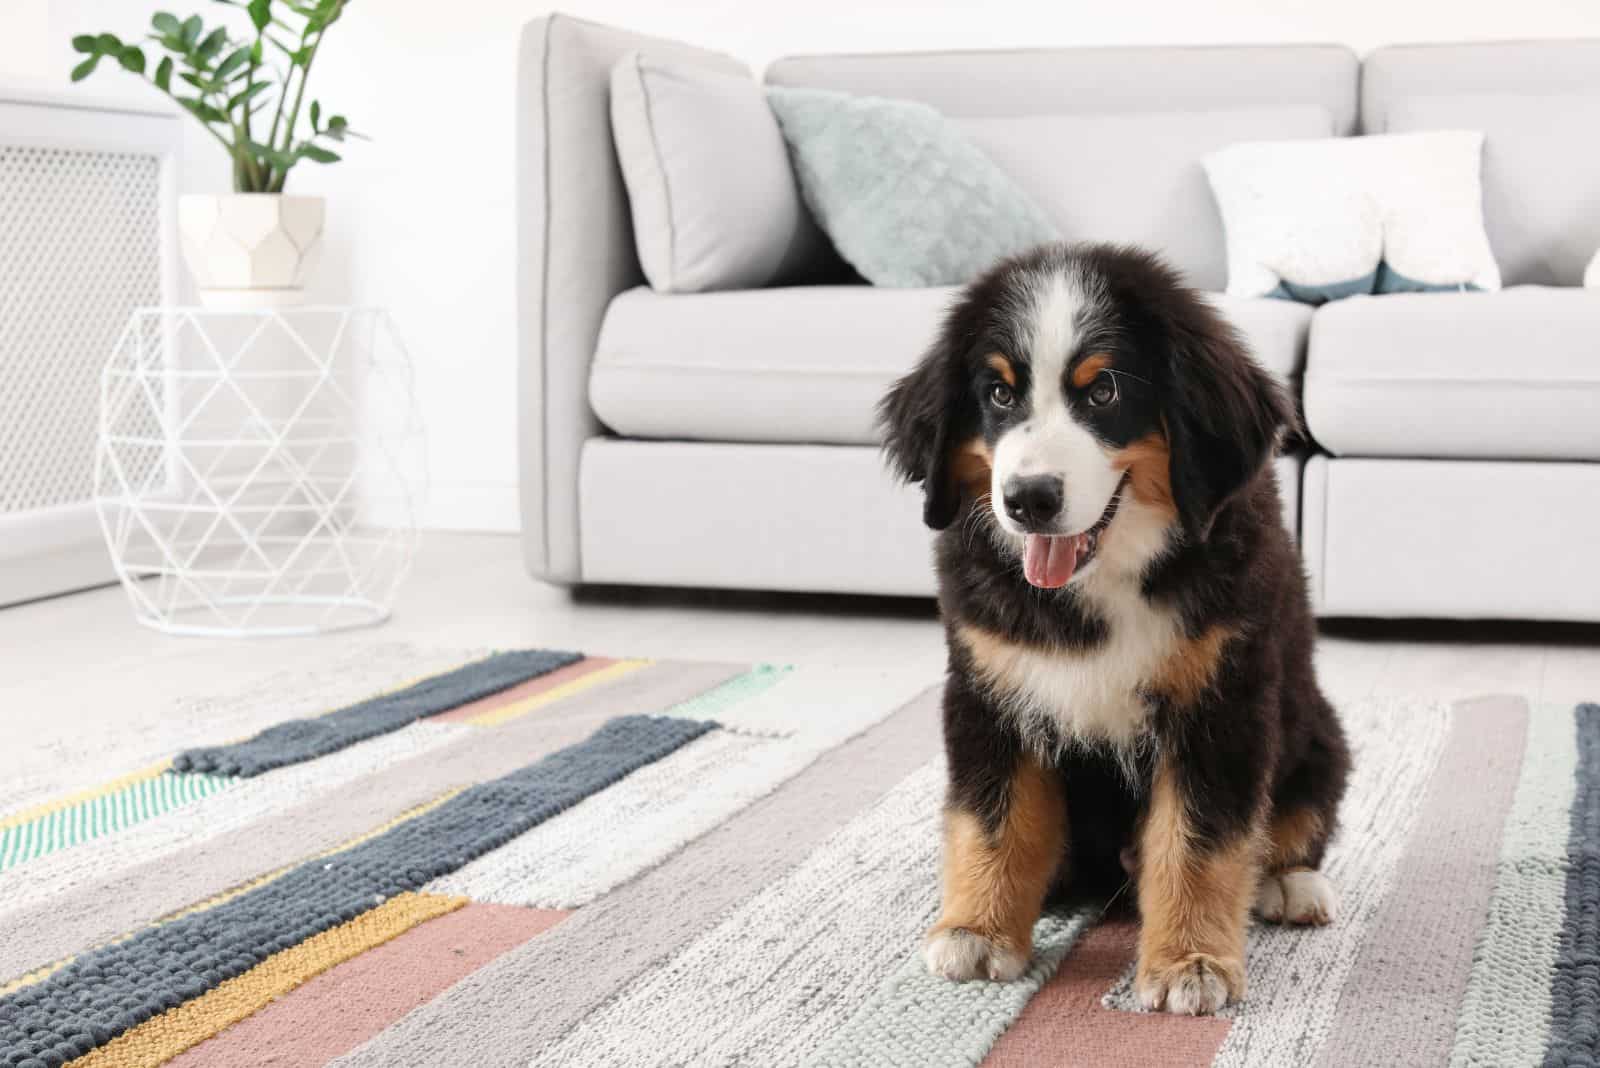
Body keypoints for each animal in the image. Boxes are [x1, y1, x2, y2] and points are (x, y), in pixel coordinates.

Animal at [889, 244, 1350, 1016]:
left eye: (1102, 392)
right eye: (1000, 395)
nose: (1028, 499)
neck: (1099, 584)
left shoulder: (1220, 703)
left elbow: (1199, 840)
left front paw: (1190, 962)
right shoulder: (989, 688)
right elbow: (994, 816)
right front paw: (978, 930)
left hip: (1317, 731)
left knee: (1294, 819)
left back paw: (1290, 883)